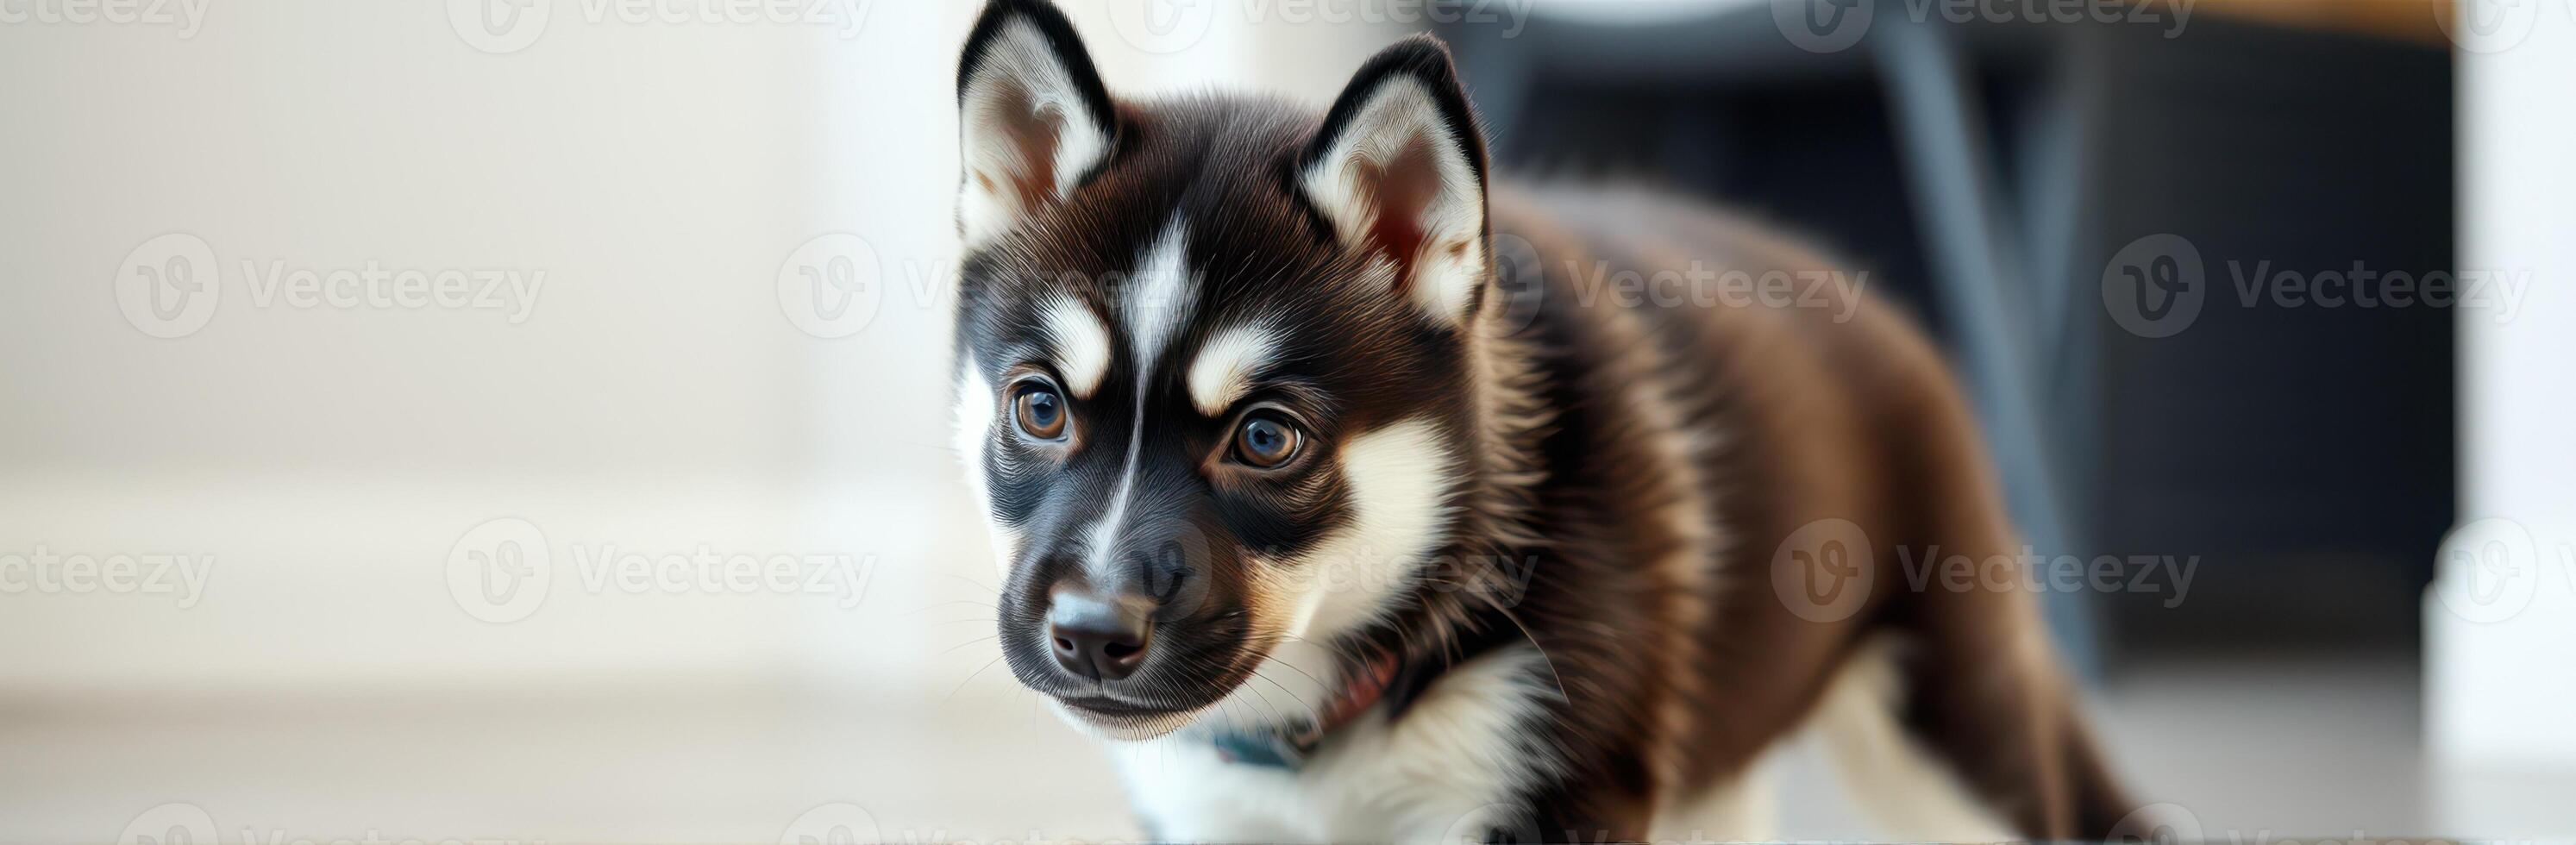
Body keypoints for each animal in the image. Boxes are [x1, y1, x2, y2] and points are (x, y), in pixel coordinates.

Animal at [948, 3, 2133, 840]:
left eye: (1266, 438)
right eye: (1038, 406)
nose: (1090, 631)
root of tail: (1869, 296)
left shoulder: (1560, 789)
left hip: (1953, 721)